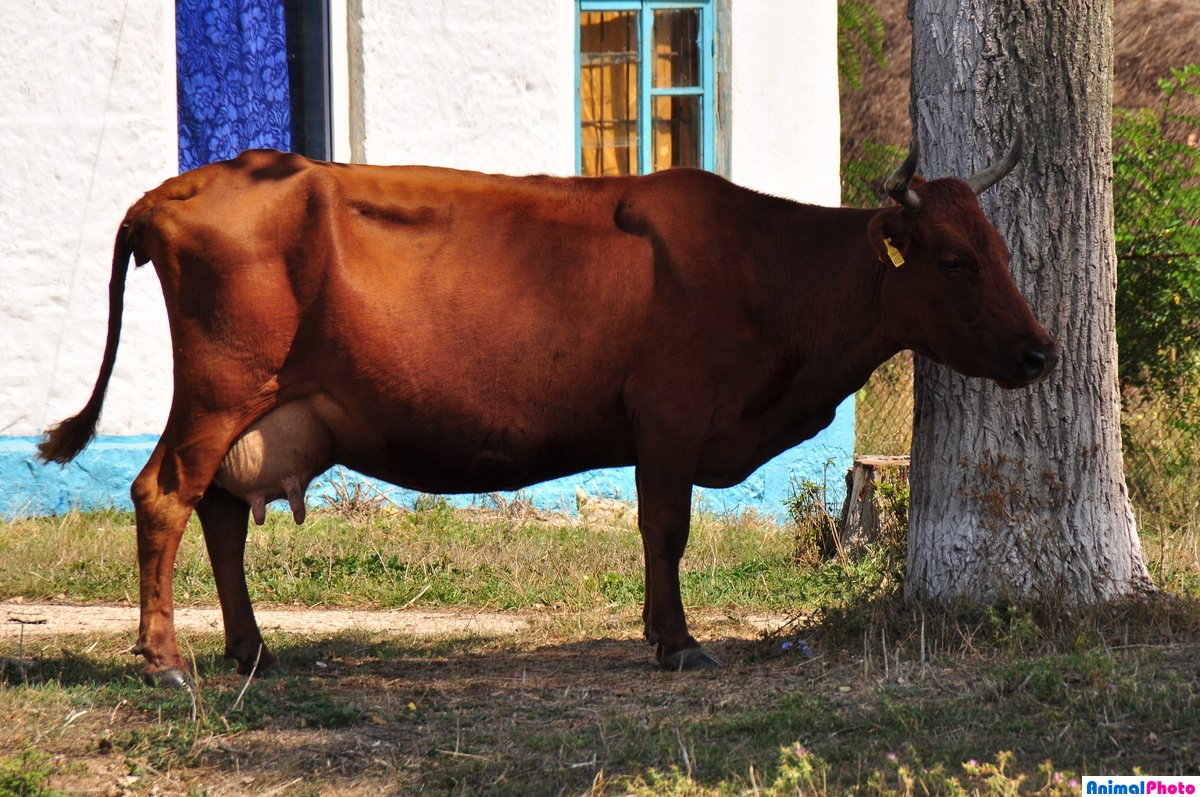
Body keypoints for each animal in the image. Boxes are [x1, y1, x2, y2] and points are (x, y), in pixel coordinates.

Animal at [40, 138, 1055, 686]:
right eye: (955, 260)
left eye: (1002, 249)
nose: (1042, 352)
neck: (765, 266)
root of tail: (185, 183)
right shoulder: (670, 415)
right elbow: (666, 527)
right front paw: (677, 643)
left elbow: (659, 532)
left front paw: (656, 631)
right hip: (221, 388)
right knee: (164, 497)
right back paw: (165, 658)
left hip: (256, 406)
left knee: (217, 512)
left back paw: (250, 650)